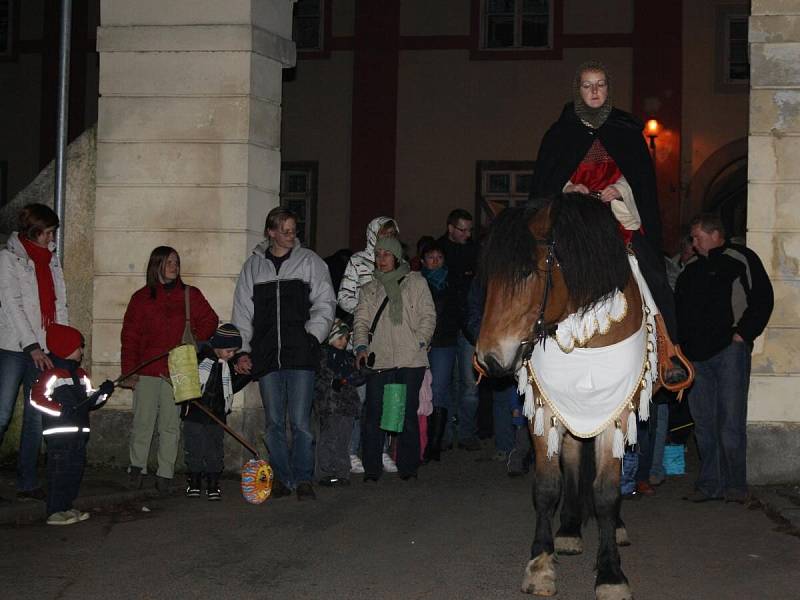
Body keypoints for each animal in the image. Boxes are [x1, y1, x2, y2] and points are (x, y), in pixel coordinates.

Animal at [476, 193, 656, 600]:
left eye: (527, 272)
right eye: (488, 274)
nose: (488, 357)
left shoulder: (616, 414)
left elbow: (606, 492)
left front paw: (610, 574)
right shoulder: (544, 410)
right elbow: (547, 486)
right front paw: (540, 564)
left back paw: (614, 528)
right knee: (573, 455)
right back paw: (570, 528)